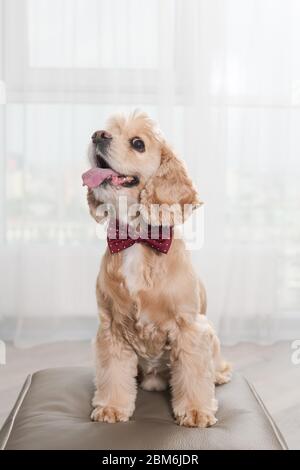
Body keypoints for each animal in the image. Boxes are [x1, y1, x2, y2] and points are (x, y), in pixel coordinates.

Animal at [83, 112, 231, 428]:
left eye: (138, 143)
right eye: (107, 130)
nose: (97, 135)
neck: (138, 238)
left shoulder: (189, 327)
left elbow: (194, 374)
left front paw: (196, 411)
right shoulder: (111, 327)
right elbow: (113, 373)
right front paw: (111, 407)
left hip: (210, 333)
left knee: (213, 367)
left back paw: (219, 375)